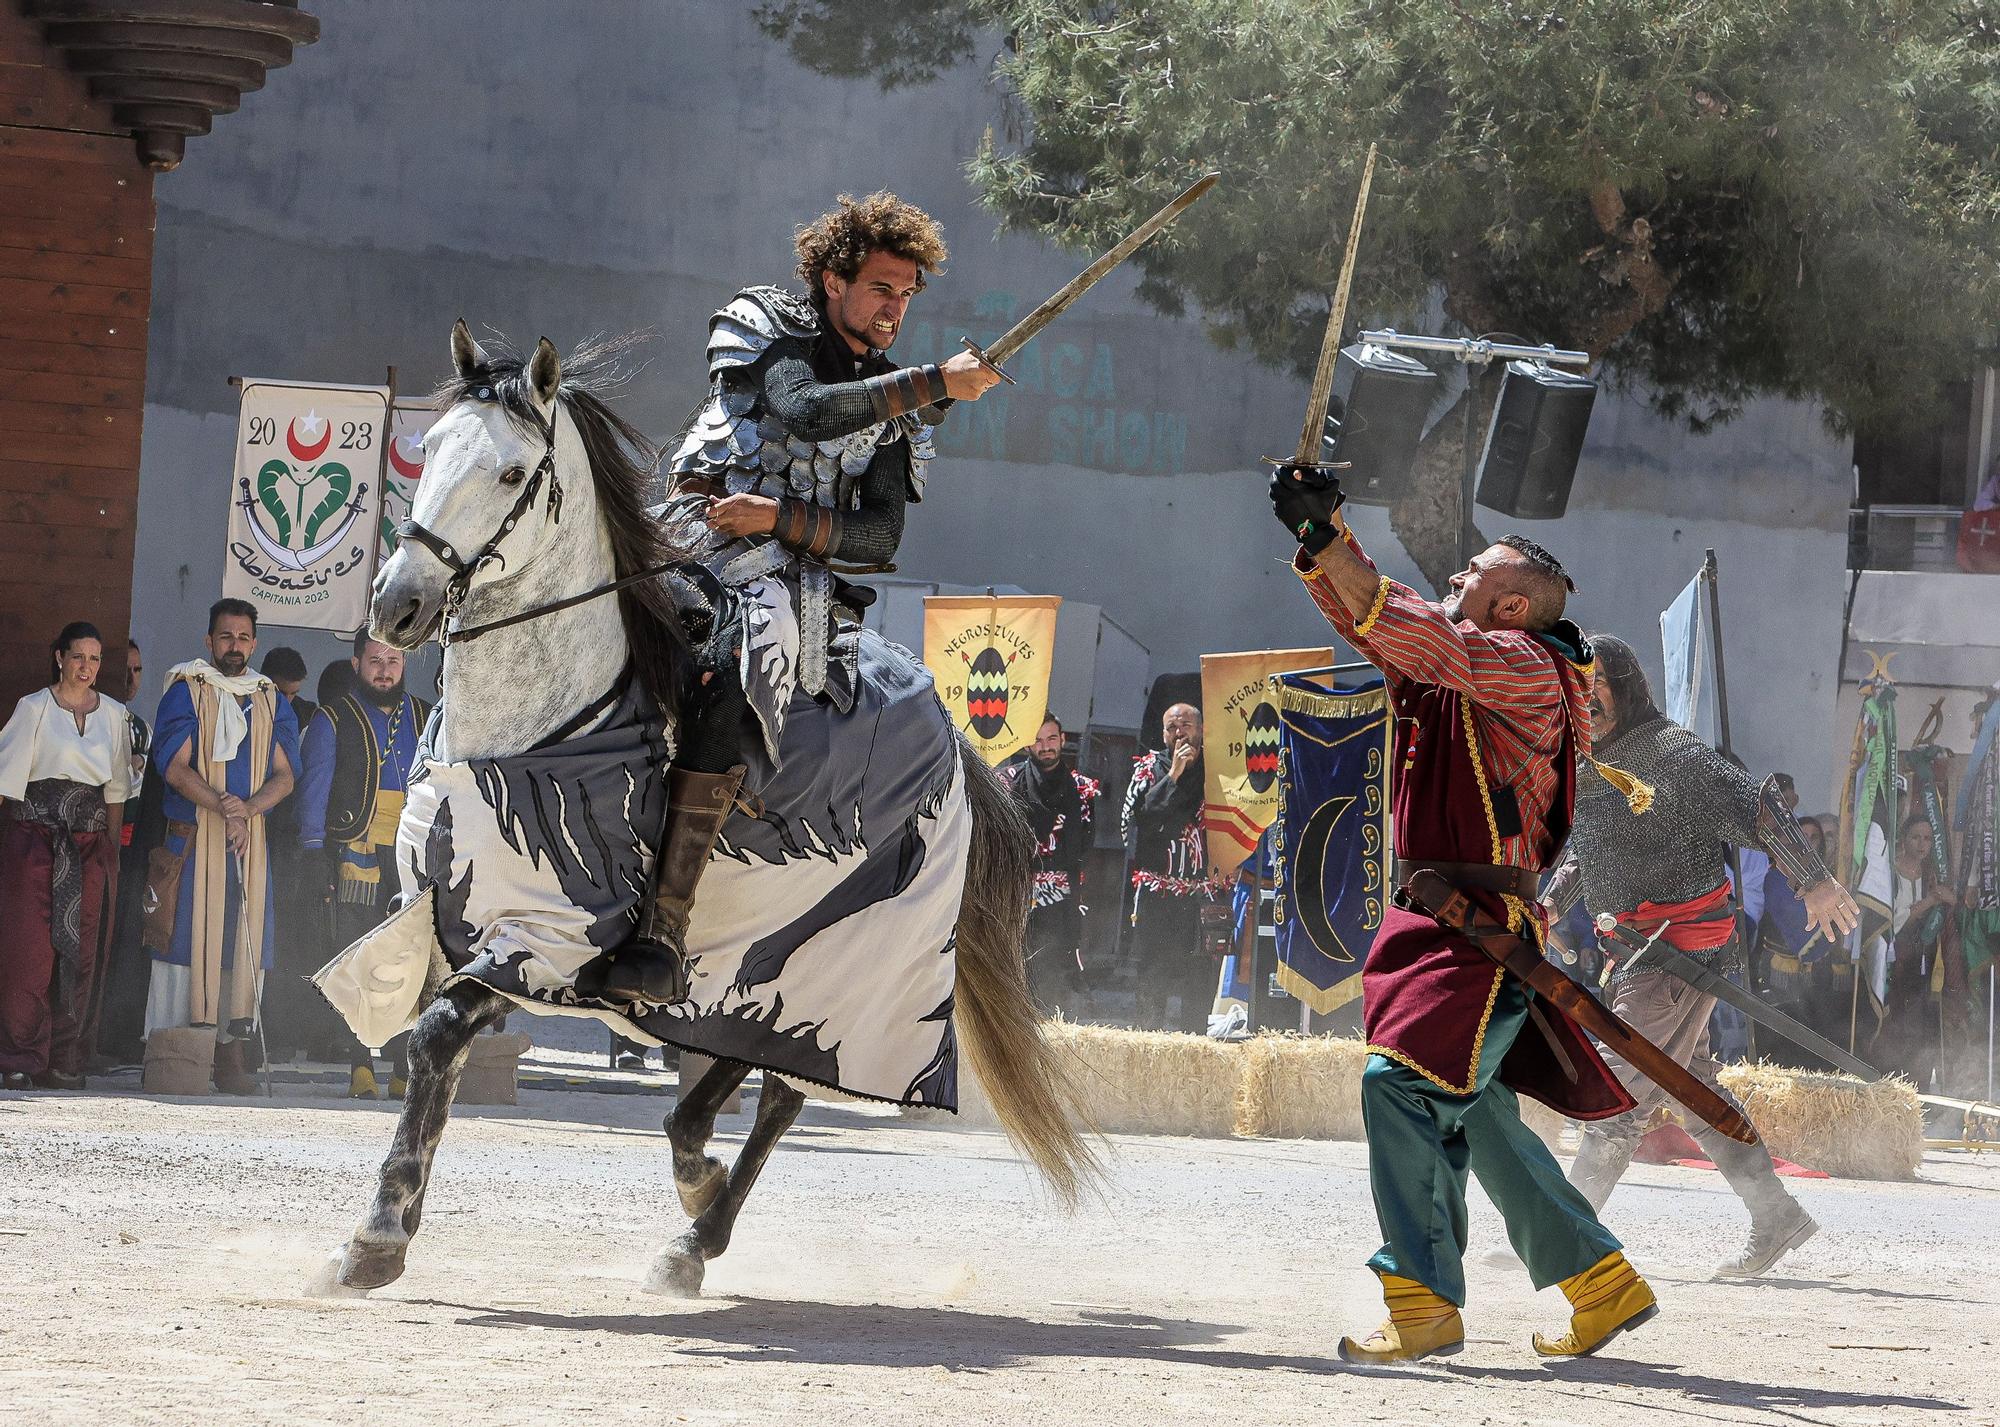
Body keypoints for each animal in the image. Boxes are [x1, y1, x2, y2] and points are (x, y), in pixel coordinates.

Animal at [344, 325, 1096, 1303]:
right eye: (428, 450)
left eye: (511, 473)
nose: (398, 604)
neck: (529, 732)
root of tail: (953, 742)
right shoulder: (441, 920)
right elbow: (429, 1050)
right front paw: (383, 1230)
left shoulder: (543, 933)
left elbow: (437, 1037)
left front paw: (376, 1236)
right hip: (761, 963)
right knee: (749, 1071)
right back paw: (695, 1186)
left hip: (845, 961)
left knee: (779, 1087)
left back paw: (695, 1224)